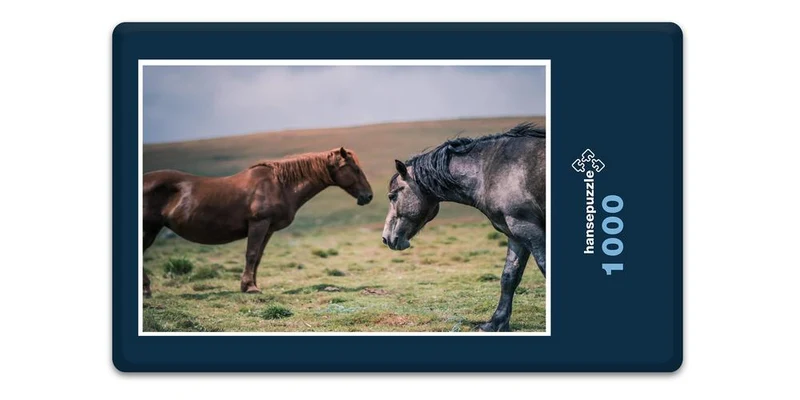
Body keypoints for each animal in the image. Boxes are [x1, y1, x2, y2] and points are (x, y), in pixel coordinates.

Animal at [142, 147, 373, 297]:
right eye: (355, 169)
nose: (368, 196)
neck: (279, 184)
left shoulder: (268, 229)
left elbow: (258, 257)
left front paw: (250, 284)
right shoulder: (258, 224)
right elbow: (251, 254)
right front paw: (250, 287)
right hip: (149, 229)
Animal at [381, 123, 546, 332]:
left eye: (392, 195)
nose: (386, 238)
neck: (491, 170)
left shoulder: (529, 229)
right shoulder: (516, 234)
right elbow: (509, 277)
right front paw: (495, 323)